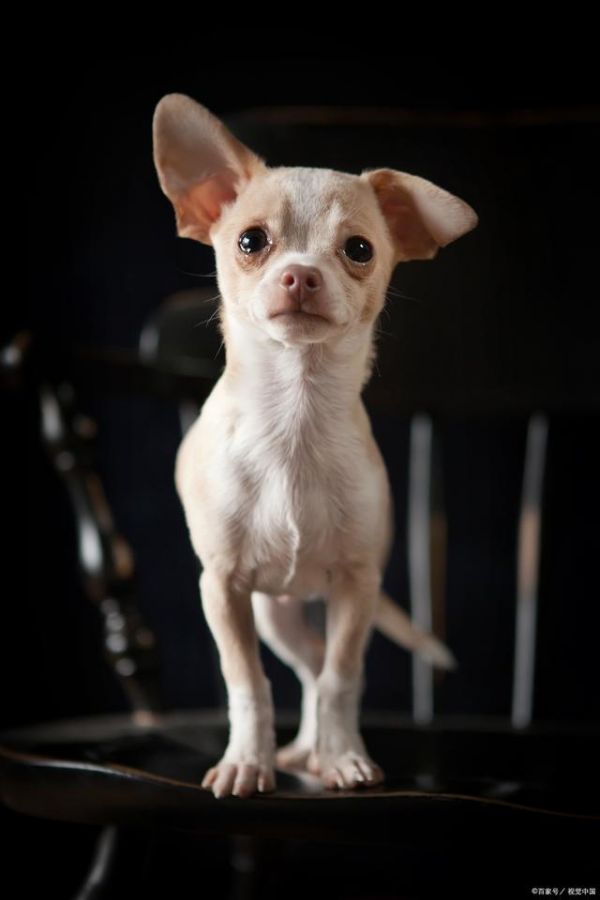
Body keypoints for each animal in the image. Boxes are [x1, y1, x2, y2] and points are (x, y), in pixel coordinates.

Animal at [152, 94, 478, 798]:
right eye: (251, 241)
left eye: (358, 249)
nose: (300, 275)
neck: (294, 420)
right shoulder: (222, 587)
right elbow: (247, 683)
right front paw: (247, 761)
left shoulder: (357, 585)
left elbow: (340, 679)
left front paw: (344, 758)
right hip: (273, 615)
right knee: (298, 668)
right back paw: (296, 751)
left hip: (314, 609)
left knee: (318, 670)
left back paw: (317, 751)